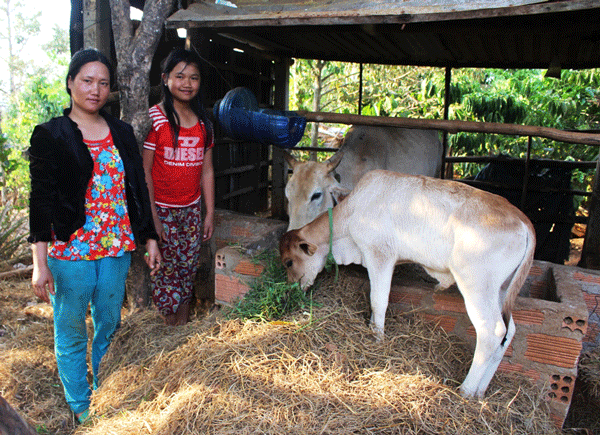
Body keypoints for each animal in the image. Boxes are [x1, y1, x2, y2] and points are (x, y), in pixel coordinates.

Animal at [278, 169, 536, 398]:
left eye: (289, 262)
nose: (292, 291)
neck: (352, 212)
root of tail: (524, 221)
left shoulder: (380, 255)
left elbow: (379, 300)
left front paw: (378, 339)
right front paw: (372, 328)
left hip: (477, 286)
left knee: (492, 332)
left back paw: (466, 390)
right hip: (501, 290)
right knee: (509, 332)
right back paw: (480, 392)